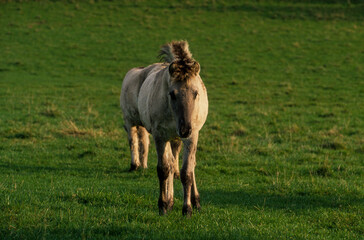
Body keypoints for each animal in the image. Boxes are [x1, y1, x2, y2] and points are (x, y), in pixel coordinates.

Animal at [121, 40, 209, 216]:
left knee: (184, 165)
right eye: (172, 94)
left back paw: (194, 201)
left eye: (196, 93)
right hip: (169, 137)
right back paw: (170, 201)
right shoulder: (160, 137)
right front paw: (163, 205)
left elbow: (187, 172)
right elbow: (164, 169)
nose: (185, 129)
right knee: (170, 163)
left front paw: (187, 209)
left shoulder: (191, 138)